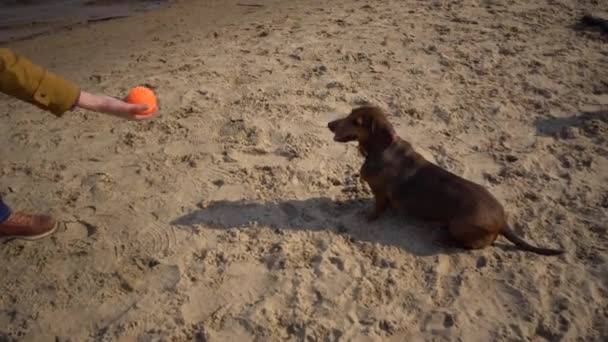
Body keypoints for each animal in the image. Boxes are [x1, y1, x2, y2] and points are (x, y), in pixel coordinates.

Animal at [328, 105, 564, 255]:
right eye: (350, 112)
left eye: (356, 121)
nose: (329, 124)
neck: (382, 149)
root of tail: (502, 221)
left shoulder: (379, 194)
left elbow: (376, 208)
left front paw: (367, 216)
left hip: (459, 224)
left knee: (470, 246)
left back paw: (443, 240)